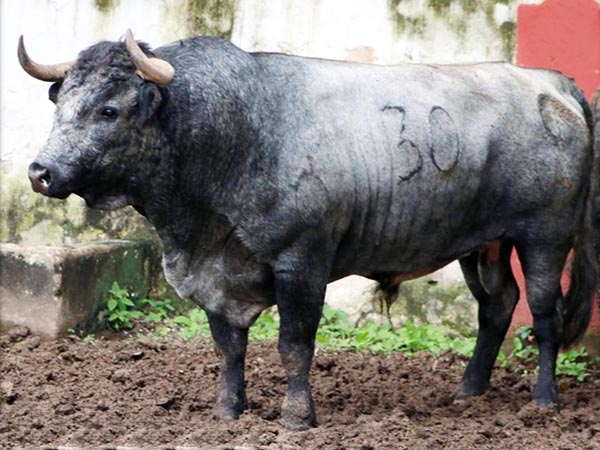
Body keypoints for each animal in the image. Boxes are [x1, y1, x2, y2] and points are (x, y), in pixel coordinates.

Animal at [16, 29, 600, 430]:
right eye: (62, 101)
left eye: (109, 109)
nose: (41, 171)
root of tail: (546, 81)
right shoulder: (215, 278)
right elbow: (228, 348)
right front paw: (227, 411)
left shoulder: (302, 263)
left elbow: (295, 345)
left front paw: (297, 416)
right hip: (482, 245)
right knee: (497, 307)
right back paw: (469, 390)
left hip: (546, 238)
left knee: (543, 313)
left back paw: (544, 401)